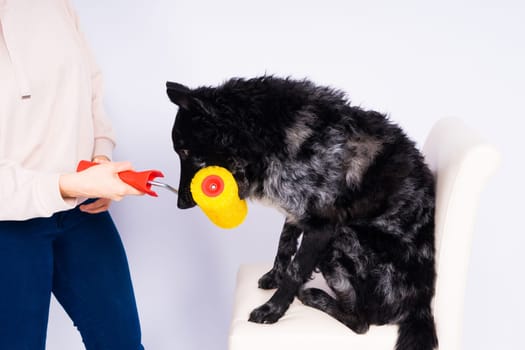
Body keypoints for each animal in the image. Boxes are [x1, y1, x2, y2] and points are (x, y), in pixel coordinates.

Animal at [166, 77, 436, 350]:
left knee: (361, 322)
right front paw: (273, 276)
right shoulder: (297, 209)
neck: (272, 133)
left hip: (341, 240)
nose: (179, 204)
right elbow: (284, 243)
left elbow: (295, 271)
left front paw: (272, 310)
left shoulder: (321, 226)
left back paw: (315, 296)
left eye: (185, 151)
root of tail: (420, 307)